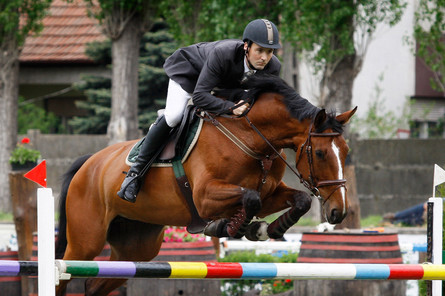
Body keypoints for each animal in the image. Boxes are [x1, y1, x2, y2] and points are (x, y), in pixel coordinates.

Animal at [55, 74, 356, 294]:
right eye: (321, 153)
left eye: (345, 151)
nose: (338, 212)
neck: (249, 136)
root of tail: (88, 163)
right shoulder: (205, 197)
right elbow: (250, 198)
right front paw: (229, 227)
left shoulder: (270, 192)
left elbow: (296, 200)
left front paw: (267, 229)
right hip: (86, 241)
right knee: (64, 273)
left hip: (137, 245)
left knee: (94, 284)